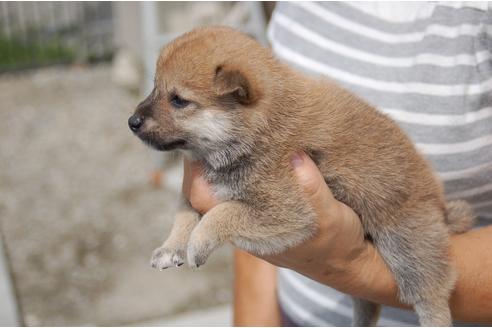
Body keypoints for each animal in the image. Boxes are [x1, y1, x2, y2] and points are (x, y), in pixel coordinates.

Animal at [129, 26, 474, 326]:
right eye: (154, 88)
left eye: (179, 100)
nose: (132, 121)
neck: (258, 130)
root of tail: (439, 203)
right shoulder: (196, 191)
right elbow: (184, 212)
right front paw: (171, 246)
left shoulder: (287, 210)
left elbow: (224, 212)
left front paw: (199, 241)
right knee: (368, 301)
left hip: (406, 245)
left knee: (431, 294)